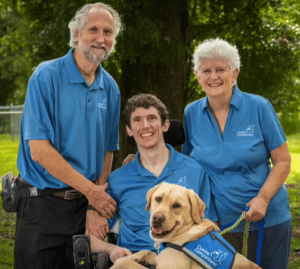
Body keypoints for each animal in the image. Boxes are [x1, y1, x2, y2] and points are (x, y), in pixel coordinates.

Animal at [111, 181, 258, 266]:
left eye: (176, 205)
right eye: (158, 198)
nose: (157, 218)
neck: (183, 233)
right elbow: (146, 251)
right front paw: (136, 257)